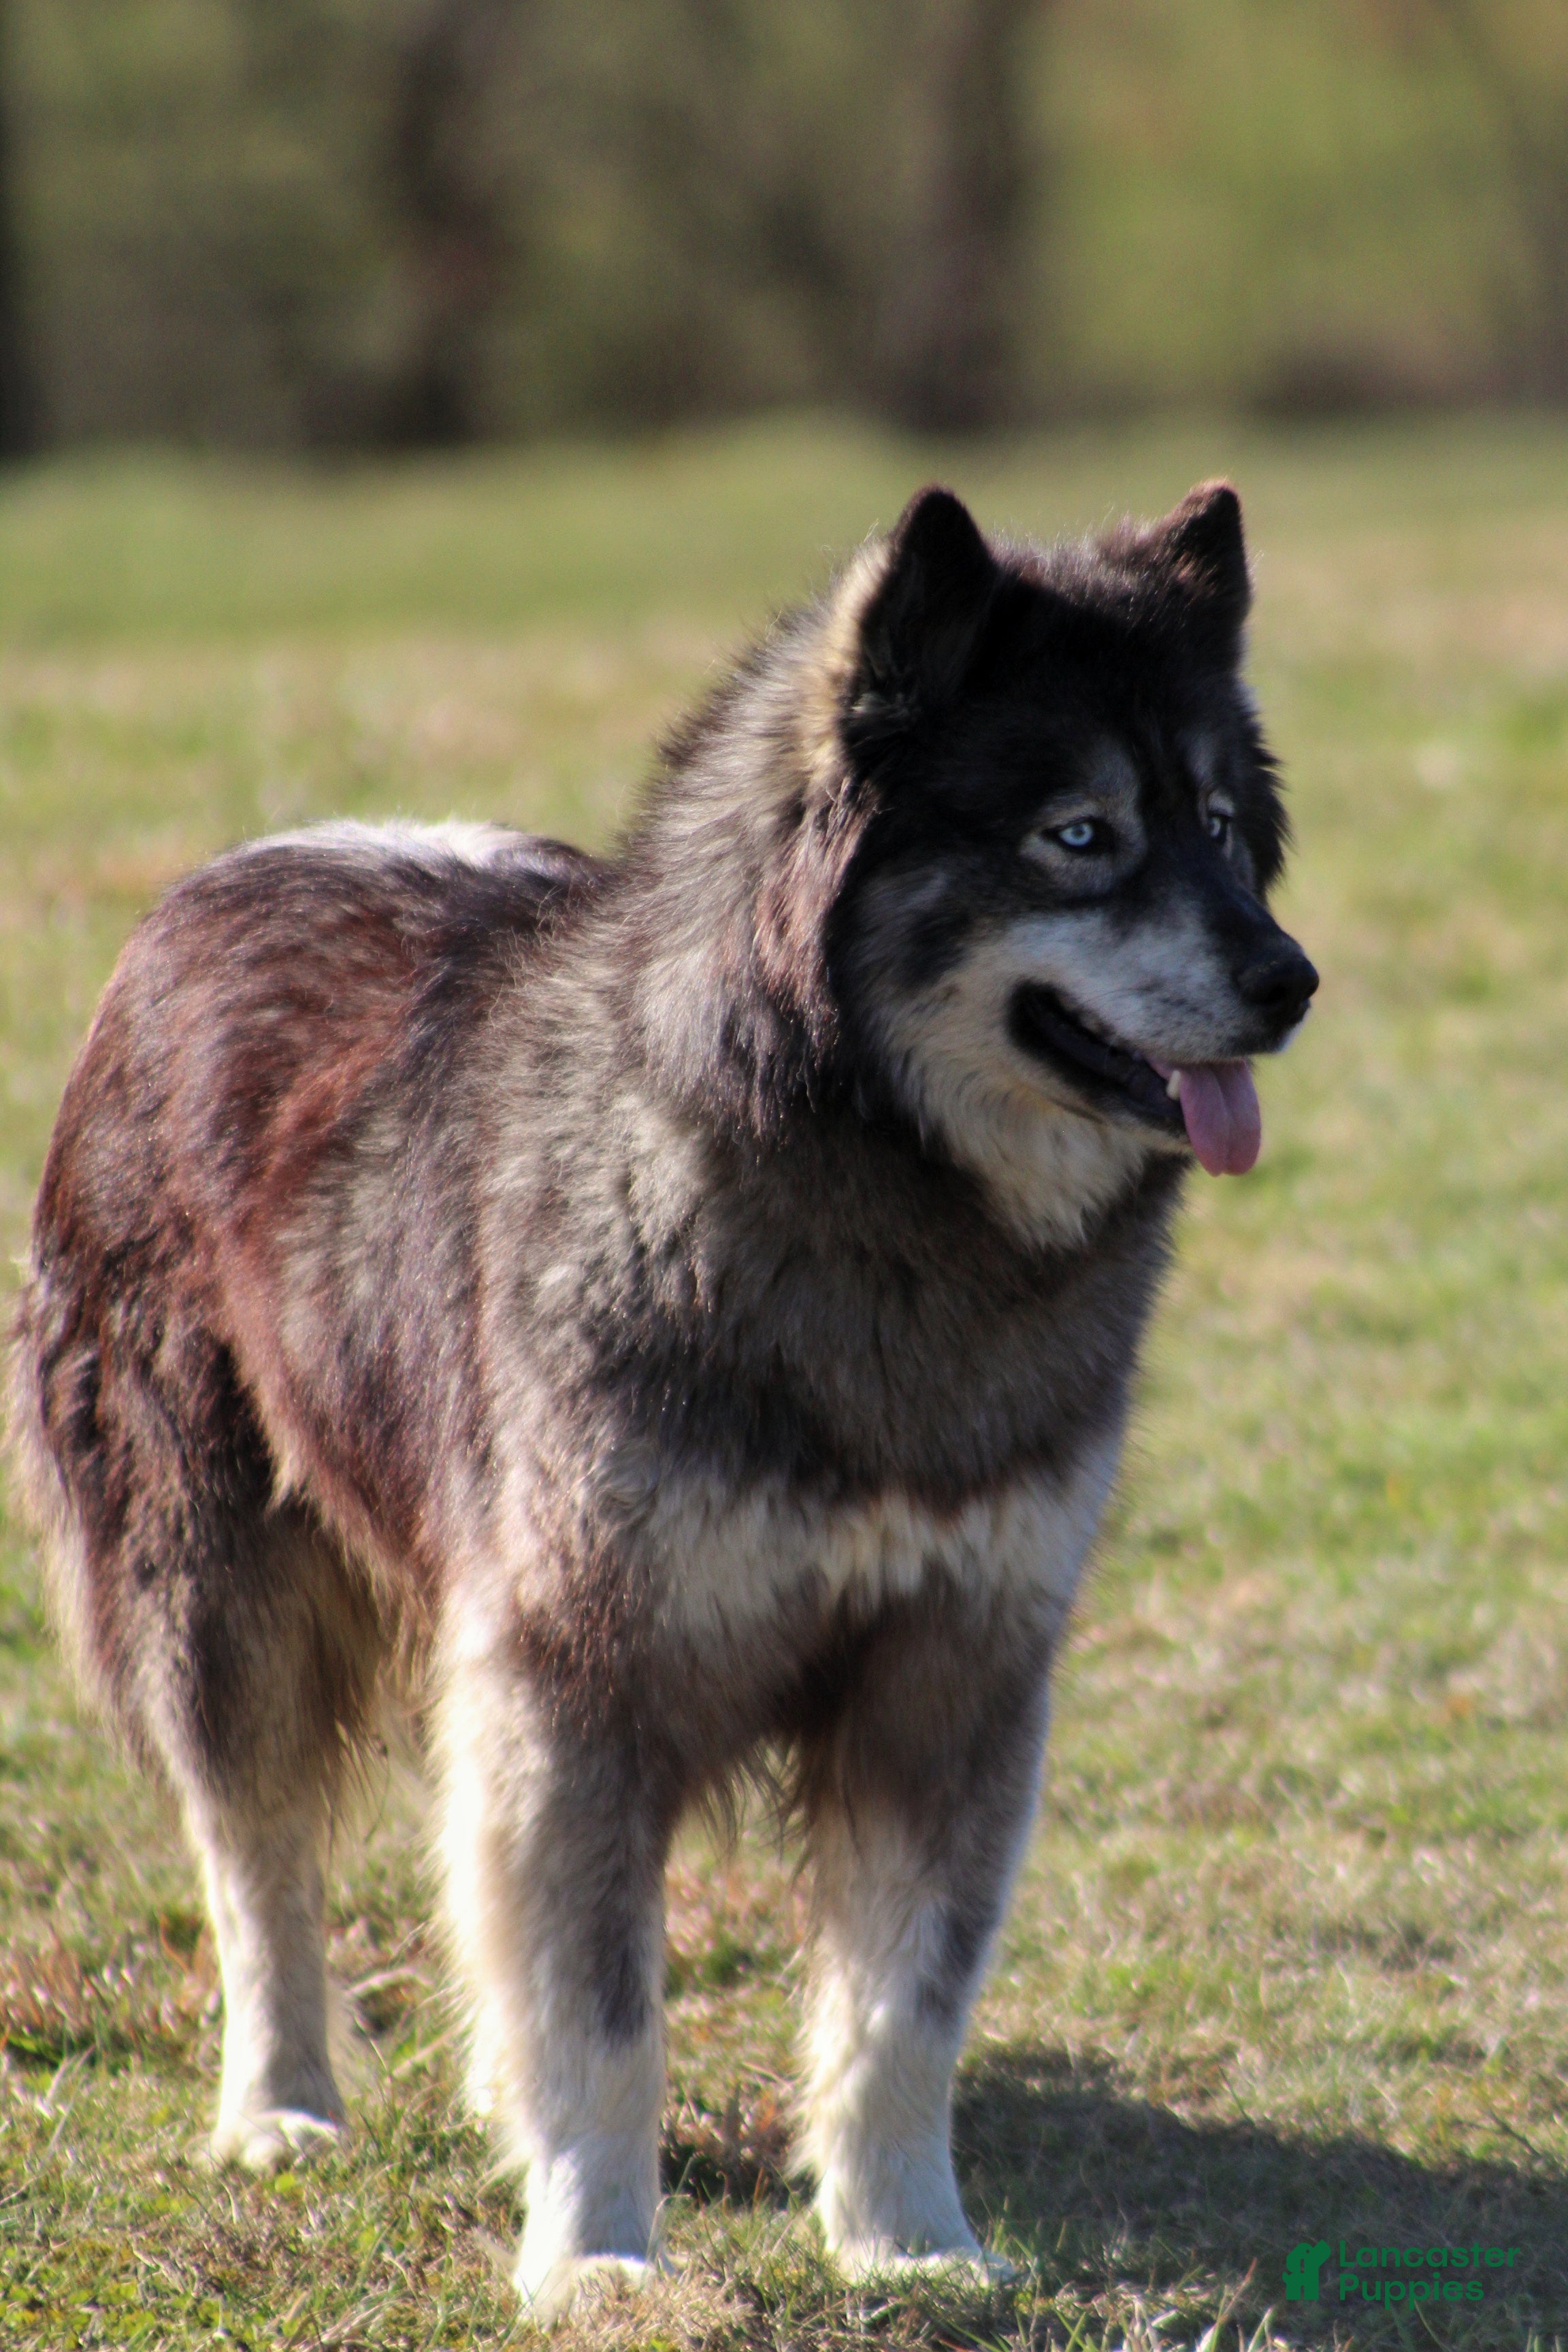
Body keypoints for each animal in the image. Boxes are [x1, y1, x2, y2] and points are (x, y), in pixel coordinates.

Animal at [10, 481, 1315, 2314]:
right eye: (1080, 834)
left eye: (1214, 820)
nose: (1292, 980)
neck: (871, 1192)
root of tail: (226, 875)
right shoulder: (578, 1684)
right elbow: (607, 2015)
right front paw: (599, 2257)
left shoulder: (953, 1677)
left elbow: (900, 2008)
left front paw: (909, 2243)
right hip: (216, 1598)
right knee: (257, 1860)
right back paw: (280, 2109)